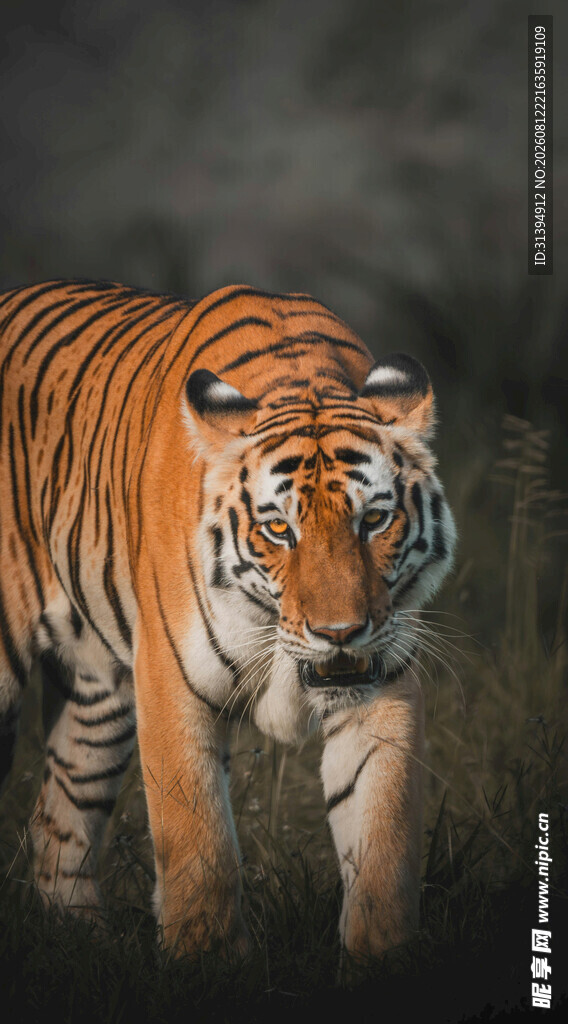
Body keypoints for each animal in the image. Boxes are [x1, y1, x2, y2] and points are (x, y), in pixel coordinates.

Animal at [0, 279, 456, 960]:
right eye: (279, 530)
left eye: (373, 520)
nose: (339, 634)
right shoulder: (170, 684)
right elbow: (199, 844)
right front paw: (208, 961)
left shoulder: (383, 687)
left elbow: (383, 836)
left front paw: (381, 958)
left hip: (98, 697)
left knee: (58, 818)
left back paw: (81, 941)